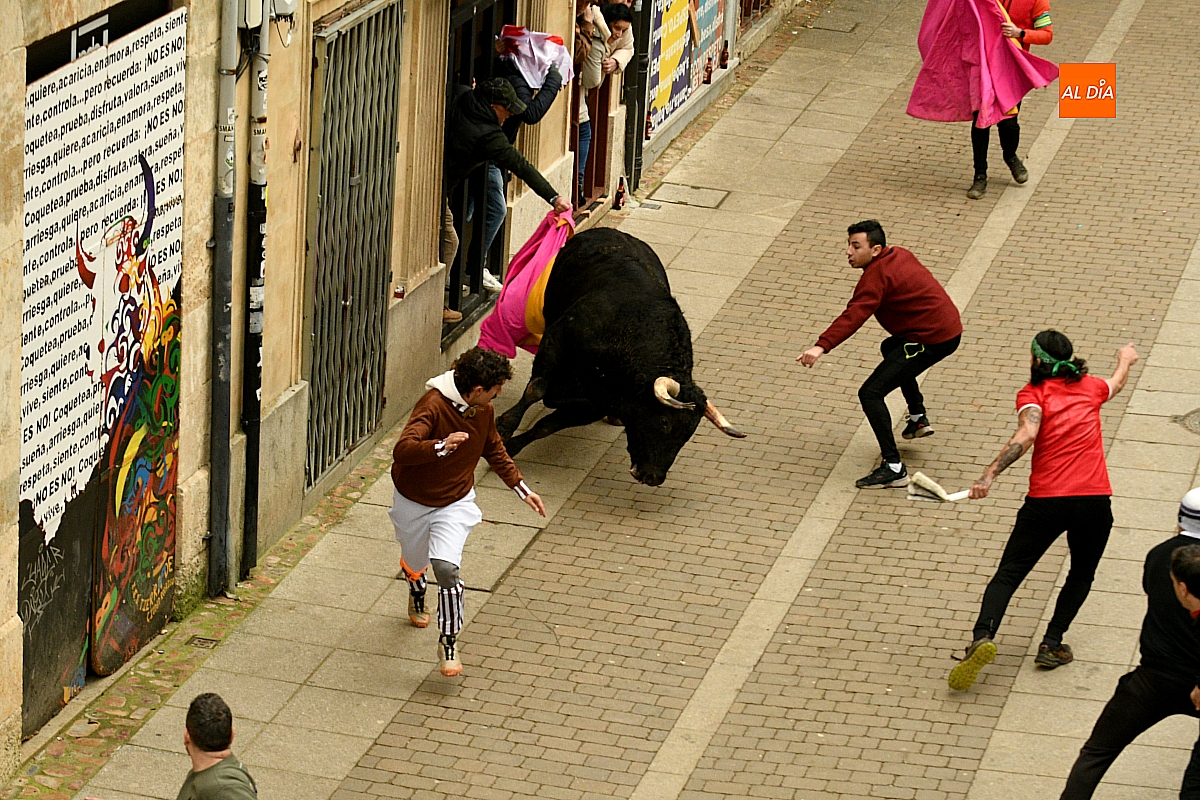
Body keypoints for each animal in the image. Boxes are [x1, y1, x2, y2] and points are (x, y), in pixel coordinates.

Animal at [495, 227, 744, 486]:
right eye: (664, 422)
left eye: (688, 433)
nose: (653, 476)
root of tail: (613, 231)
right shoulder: (556, 338)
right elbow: (537, 389)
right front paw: (504, 427)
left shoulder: (595, 405)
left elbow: (546, 426)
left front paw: (511, 447)